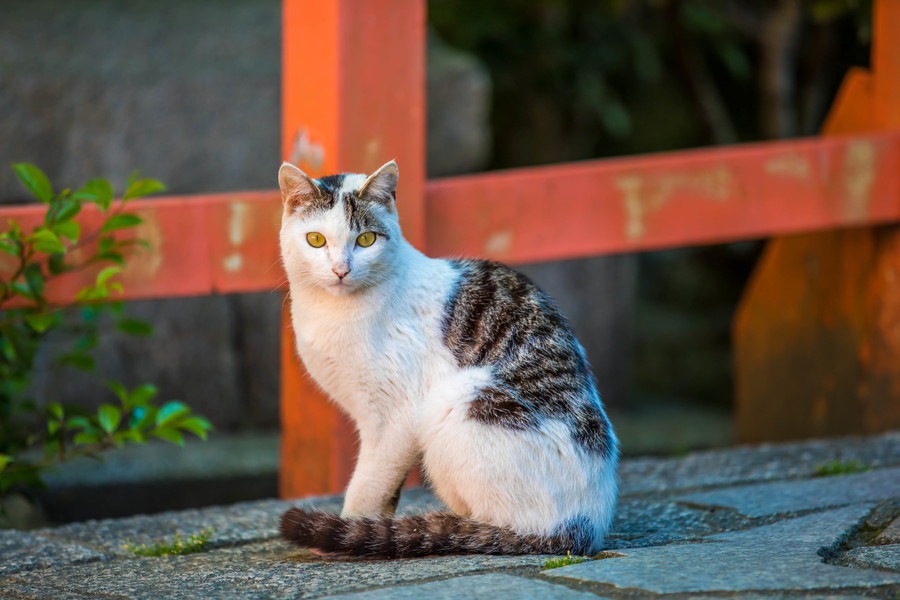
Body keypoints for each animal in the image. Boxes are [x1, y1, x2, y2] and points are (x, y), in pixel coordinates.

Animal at [282, 159, 620, 556]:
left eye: (366, 240)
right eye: (316, 240)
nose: (340, 269)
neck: (332, 312)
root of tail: (587, 526)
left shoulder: (398, 417)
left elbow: (370, 481)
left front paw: (350, 528)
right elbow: (386, 489)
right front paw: (369, 526)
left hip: (456, 400)